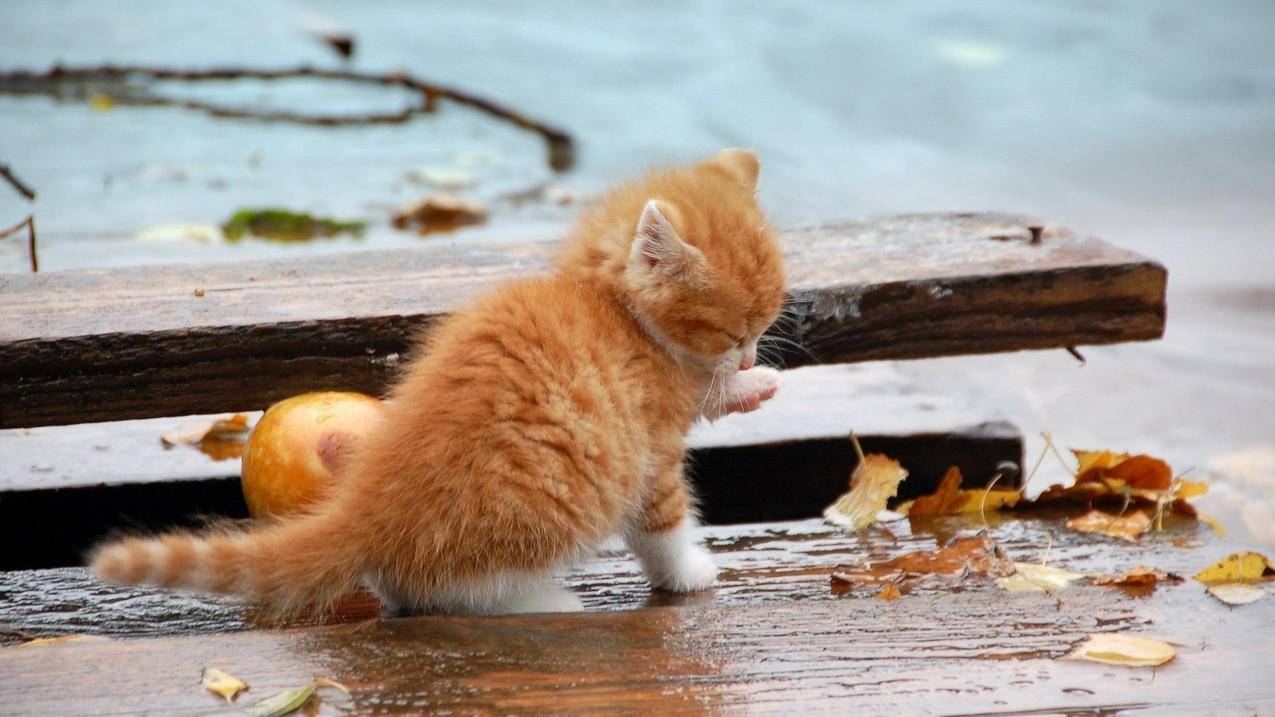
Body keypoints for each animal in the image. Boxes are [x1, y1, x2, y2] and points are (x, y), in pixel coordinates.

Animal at [89, 149, 785, 614]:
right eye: (734, 332)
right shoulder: (647, 443)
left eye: (763, 325)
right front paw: (687, 573)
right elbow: (660, 522)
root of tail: (368, 510)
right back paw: (541, 602)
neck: (611, 308)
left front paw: (752, 387)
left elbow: (705, 397)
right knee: (447, 587)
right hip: (538, 504)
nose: (749, 357)